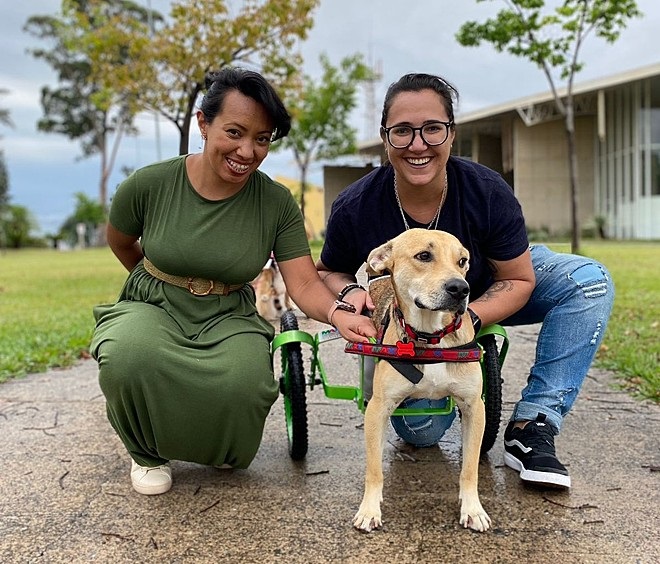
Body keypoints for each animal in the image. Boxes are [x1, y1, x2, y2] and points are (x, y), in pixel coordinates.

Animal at [356, 228, 490, 532]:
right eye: (424, 256)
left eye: (462, 261)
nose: (460, 289)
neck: (431, 337)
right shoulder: (378, 408)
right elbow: (373, 468)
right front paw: (369, 509)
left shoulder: (474, 408)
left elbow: (470, 468)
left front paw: (473, 509)